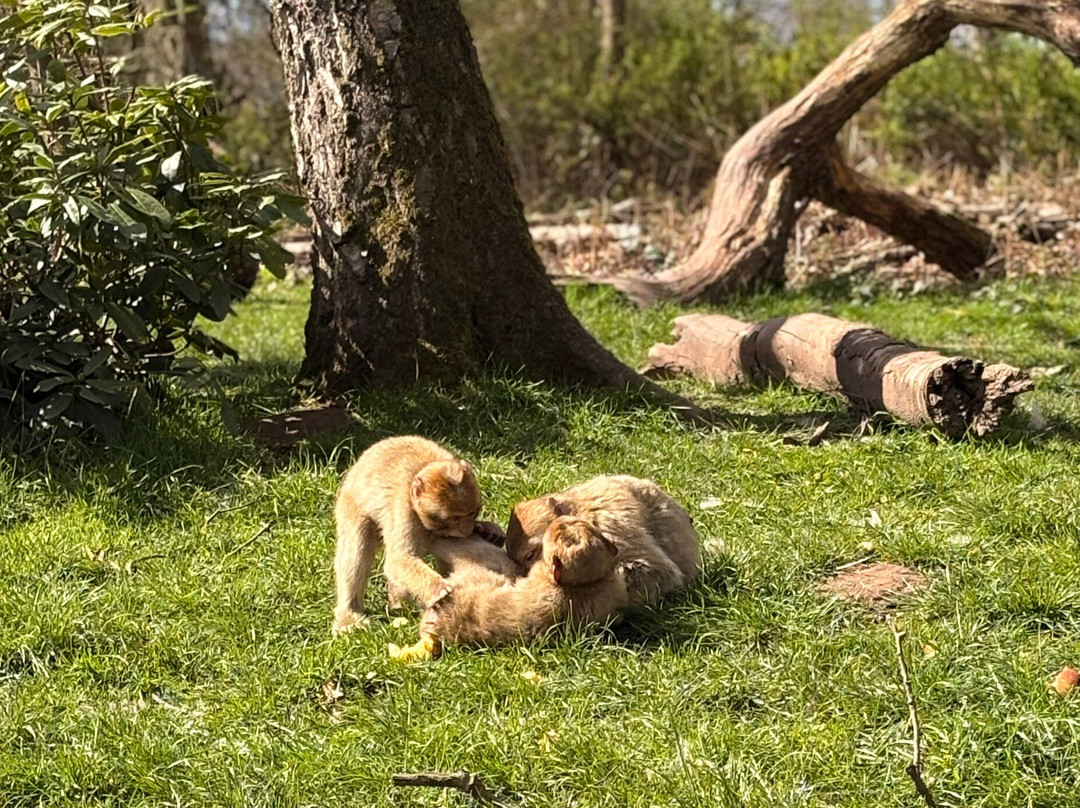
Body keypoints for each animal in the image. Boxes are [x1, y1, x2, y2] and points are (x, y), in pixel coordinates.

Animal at [332, 435, 516, 635]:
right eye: (453, 518)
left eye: (472, 513)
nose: (466, 529)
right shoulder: (404, 508)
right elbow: (398, 560)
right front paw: (439, 588)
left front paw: (487, 529)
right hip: (350, 504)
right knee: (357, 547)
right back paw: (349, 613)